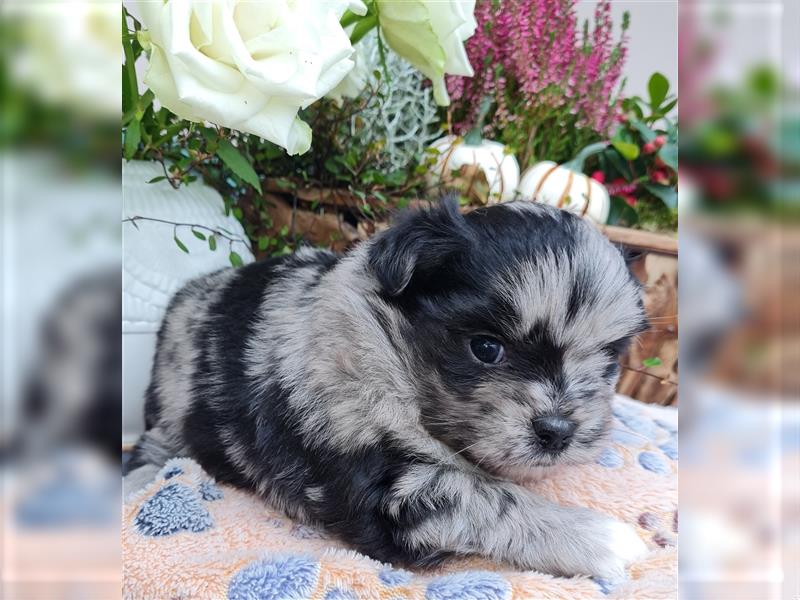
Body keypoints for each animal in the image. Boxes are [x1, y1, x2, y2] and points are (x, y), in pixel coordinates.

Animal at [125, 199, 648, 580]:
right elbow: (486, 498)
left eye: (609, 359)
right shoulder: (382, 486)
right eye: (486, 348)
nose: (558, 431)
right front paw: (599, 538)